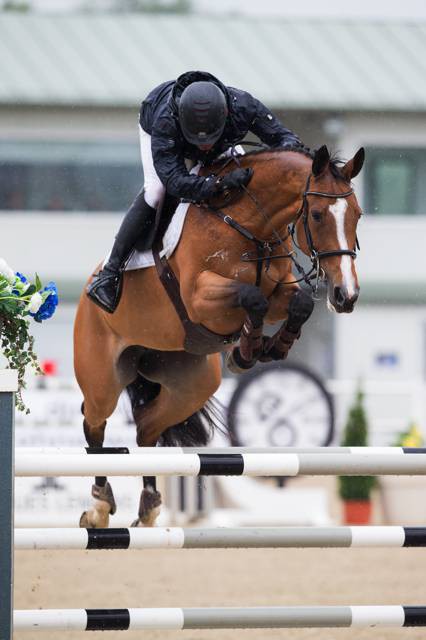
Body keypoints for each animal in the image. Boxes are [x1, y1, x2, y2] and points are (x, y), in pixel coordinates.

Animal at [73, 142, 362, 528]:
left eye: (357, 215)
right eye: (316, 215)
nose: (346, 295)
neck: (250, 225)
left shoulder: (279, 292)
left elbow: (297, 302)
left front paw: (266, 348)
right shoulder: (200, 298)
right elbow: (251, 297)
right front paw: (248, 349)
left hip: (192, 384)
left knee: (146, 426)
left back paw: (148, 506)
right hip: (103, 379)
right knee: (94, 423)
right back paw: (99, 507)